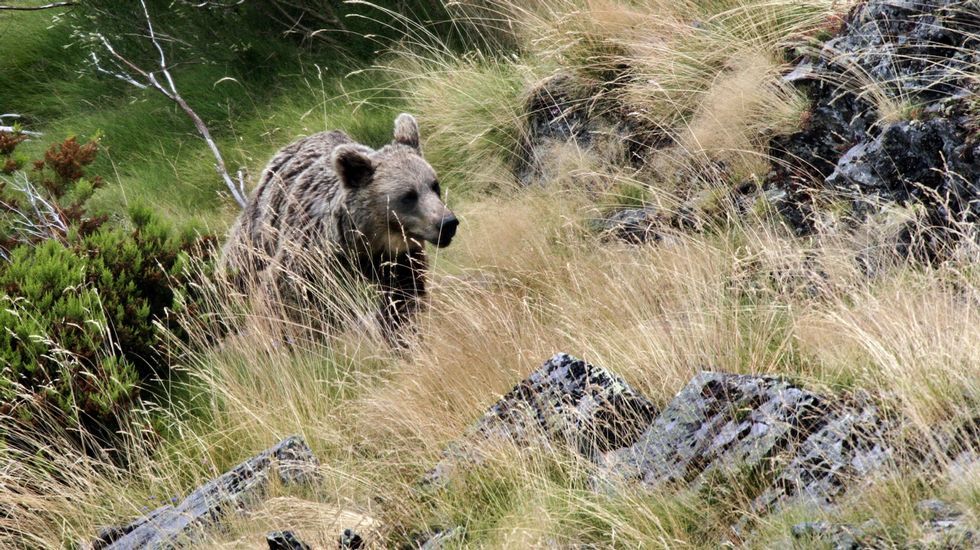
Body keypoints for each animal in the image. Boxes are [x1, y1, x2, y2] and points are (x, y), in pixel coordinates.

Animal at [220, 112, 458, 340]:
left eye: (434, 185)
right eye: (408, 196)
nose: (447, 223)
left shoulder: (399, 263)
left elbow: (401, 302)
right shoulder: (309, 262)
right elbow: (286, 302)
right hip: (259, 231)